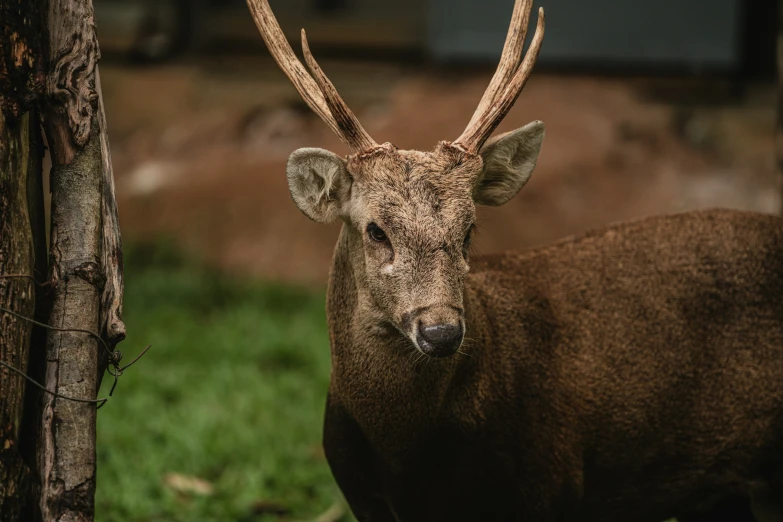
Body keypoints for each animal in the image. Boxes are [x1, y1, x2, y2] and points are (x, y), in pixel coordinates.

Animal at [247, 1, 783, 520]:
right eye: (376, 230)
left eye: (469, 229)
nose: (442, 332)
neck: (403, 458)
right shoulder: (362, 498)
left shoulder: (549, 484)